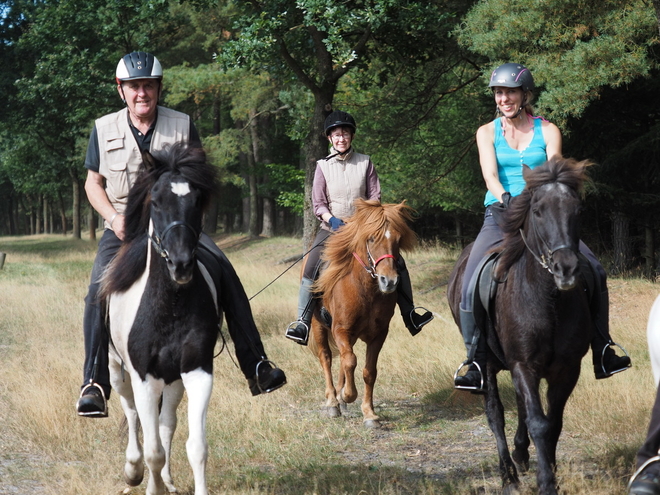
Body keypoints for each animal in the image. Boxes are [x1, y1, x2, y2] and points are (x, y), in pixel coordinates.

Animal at [100, 144, 218, 495]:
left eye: (197, 200)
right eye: (156, 200)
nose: (181, 265)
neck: (170, 307)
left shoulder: (197, 372)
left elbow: (196, 447)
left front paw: (168, 481)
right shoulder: (144, 378)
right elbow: (151, 449)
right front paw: (148, 482)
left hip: (173, 379)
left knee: (166, 424)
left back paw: (166, 479)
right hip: (118, 372)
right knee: (132, 413)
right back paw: (133, 469)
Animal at [310, 200, 416, 428]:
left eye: (397, 240)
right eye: (371, 238)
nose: (390, 281)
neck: (365, 289)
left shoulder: (378, 334)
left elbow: (369, 371)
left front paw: (369, 413)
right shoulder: (340, 329)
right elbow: (350, 361)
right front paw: (348, 395)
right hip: (318, 325)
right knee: (327, 358)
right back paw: (333, 401)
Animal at [448, 158, 592, 495]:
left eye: (577, 209)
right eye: (537, 210)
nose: (566, 269)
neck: (547, 298)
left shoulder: (567, 369)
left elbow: (553, 422)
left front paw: (548, 470)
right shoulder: (523, 365)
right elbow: (538, 422)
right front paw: (546, 482)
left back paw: (521, 455)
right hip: (486, 364)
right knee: (495, 414)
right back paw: (509, 475)